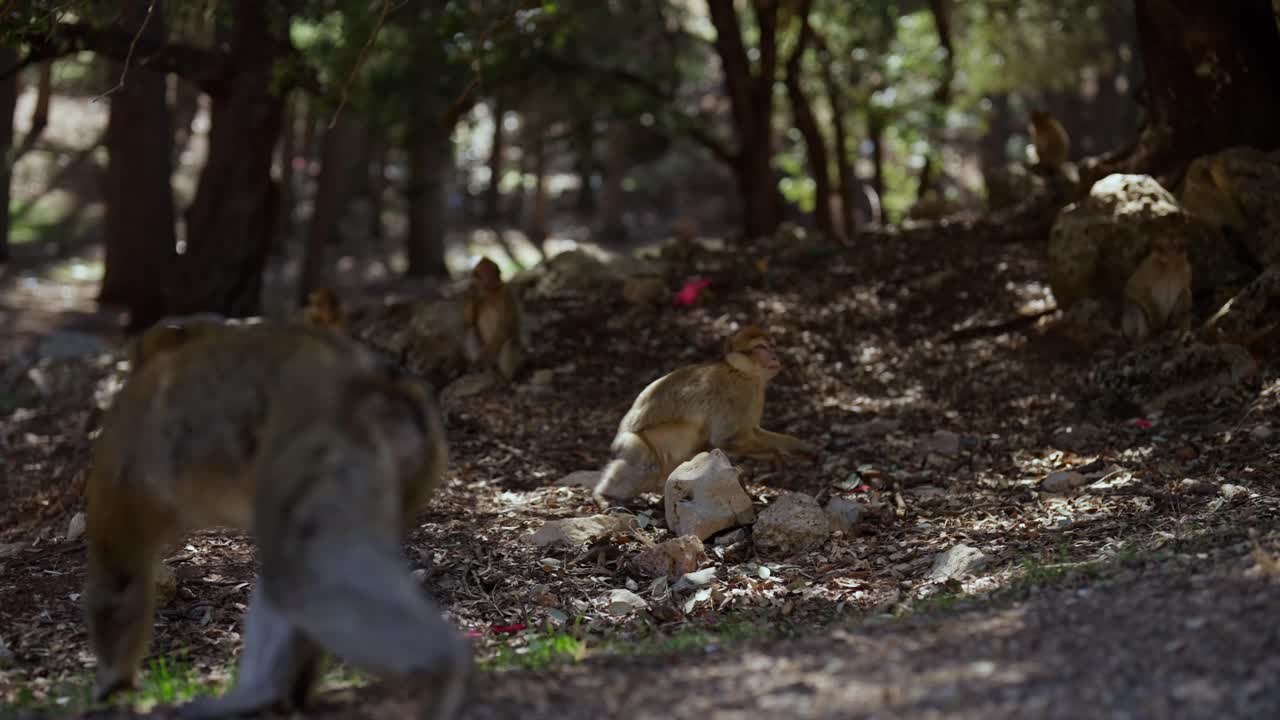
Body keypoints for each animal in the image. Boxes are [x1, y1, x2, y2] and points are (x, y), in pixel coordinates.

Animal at [84, 323, 469, 719]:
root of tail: (371, 377)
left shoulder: (119, 468)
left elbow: (119, 582)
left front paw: (111, 685)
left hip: (320, 444)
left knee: (299, 574)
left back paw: (446, 665)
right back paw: (267, 693)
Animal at [592, 325, 818, 507]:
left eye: (772, 347)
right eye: (761, 348)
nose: (775, 357)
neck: (741, 372)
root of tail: (618, 438)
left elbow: (752, 431)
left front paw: (799, 447)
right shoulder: (737, 394)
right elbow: (725, 439)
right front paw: (774, 455)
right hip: (635, 445)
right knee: (650, 465)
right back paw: (601, 495)